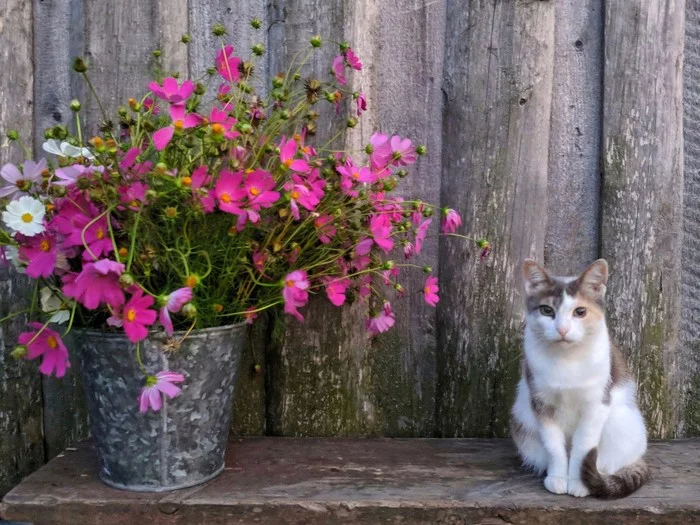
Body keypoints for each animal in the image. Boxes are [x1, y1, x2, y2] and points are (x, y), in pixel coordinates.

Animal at [508, 260, 652, 498]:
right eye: (547, 310)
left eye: (580, 311)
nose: (562, 329)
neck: (567, 360)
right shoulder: (541, 403)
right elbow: (554, 446)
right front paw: (558, 478)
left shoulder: (596, 404)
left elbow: (583, 447)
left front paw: (578, 483)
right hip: (523, 423)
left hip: (619, 423)